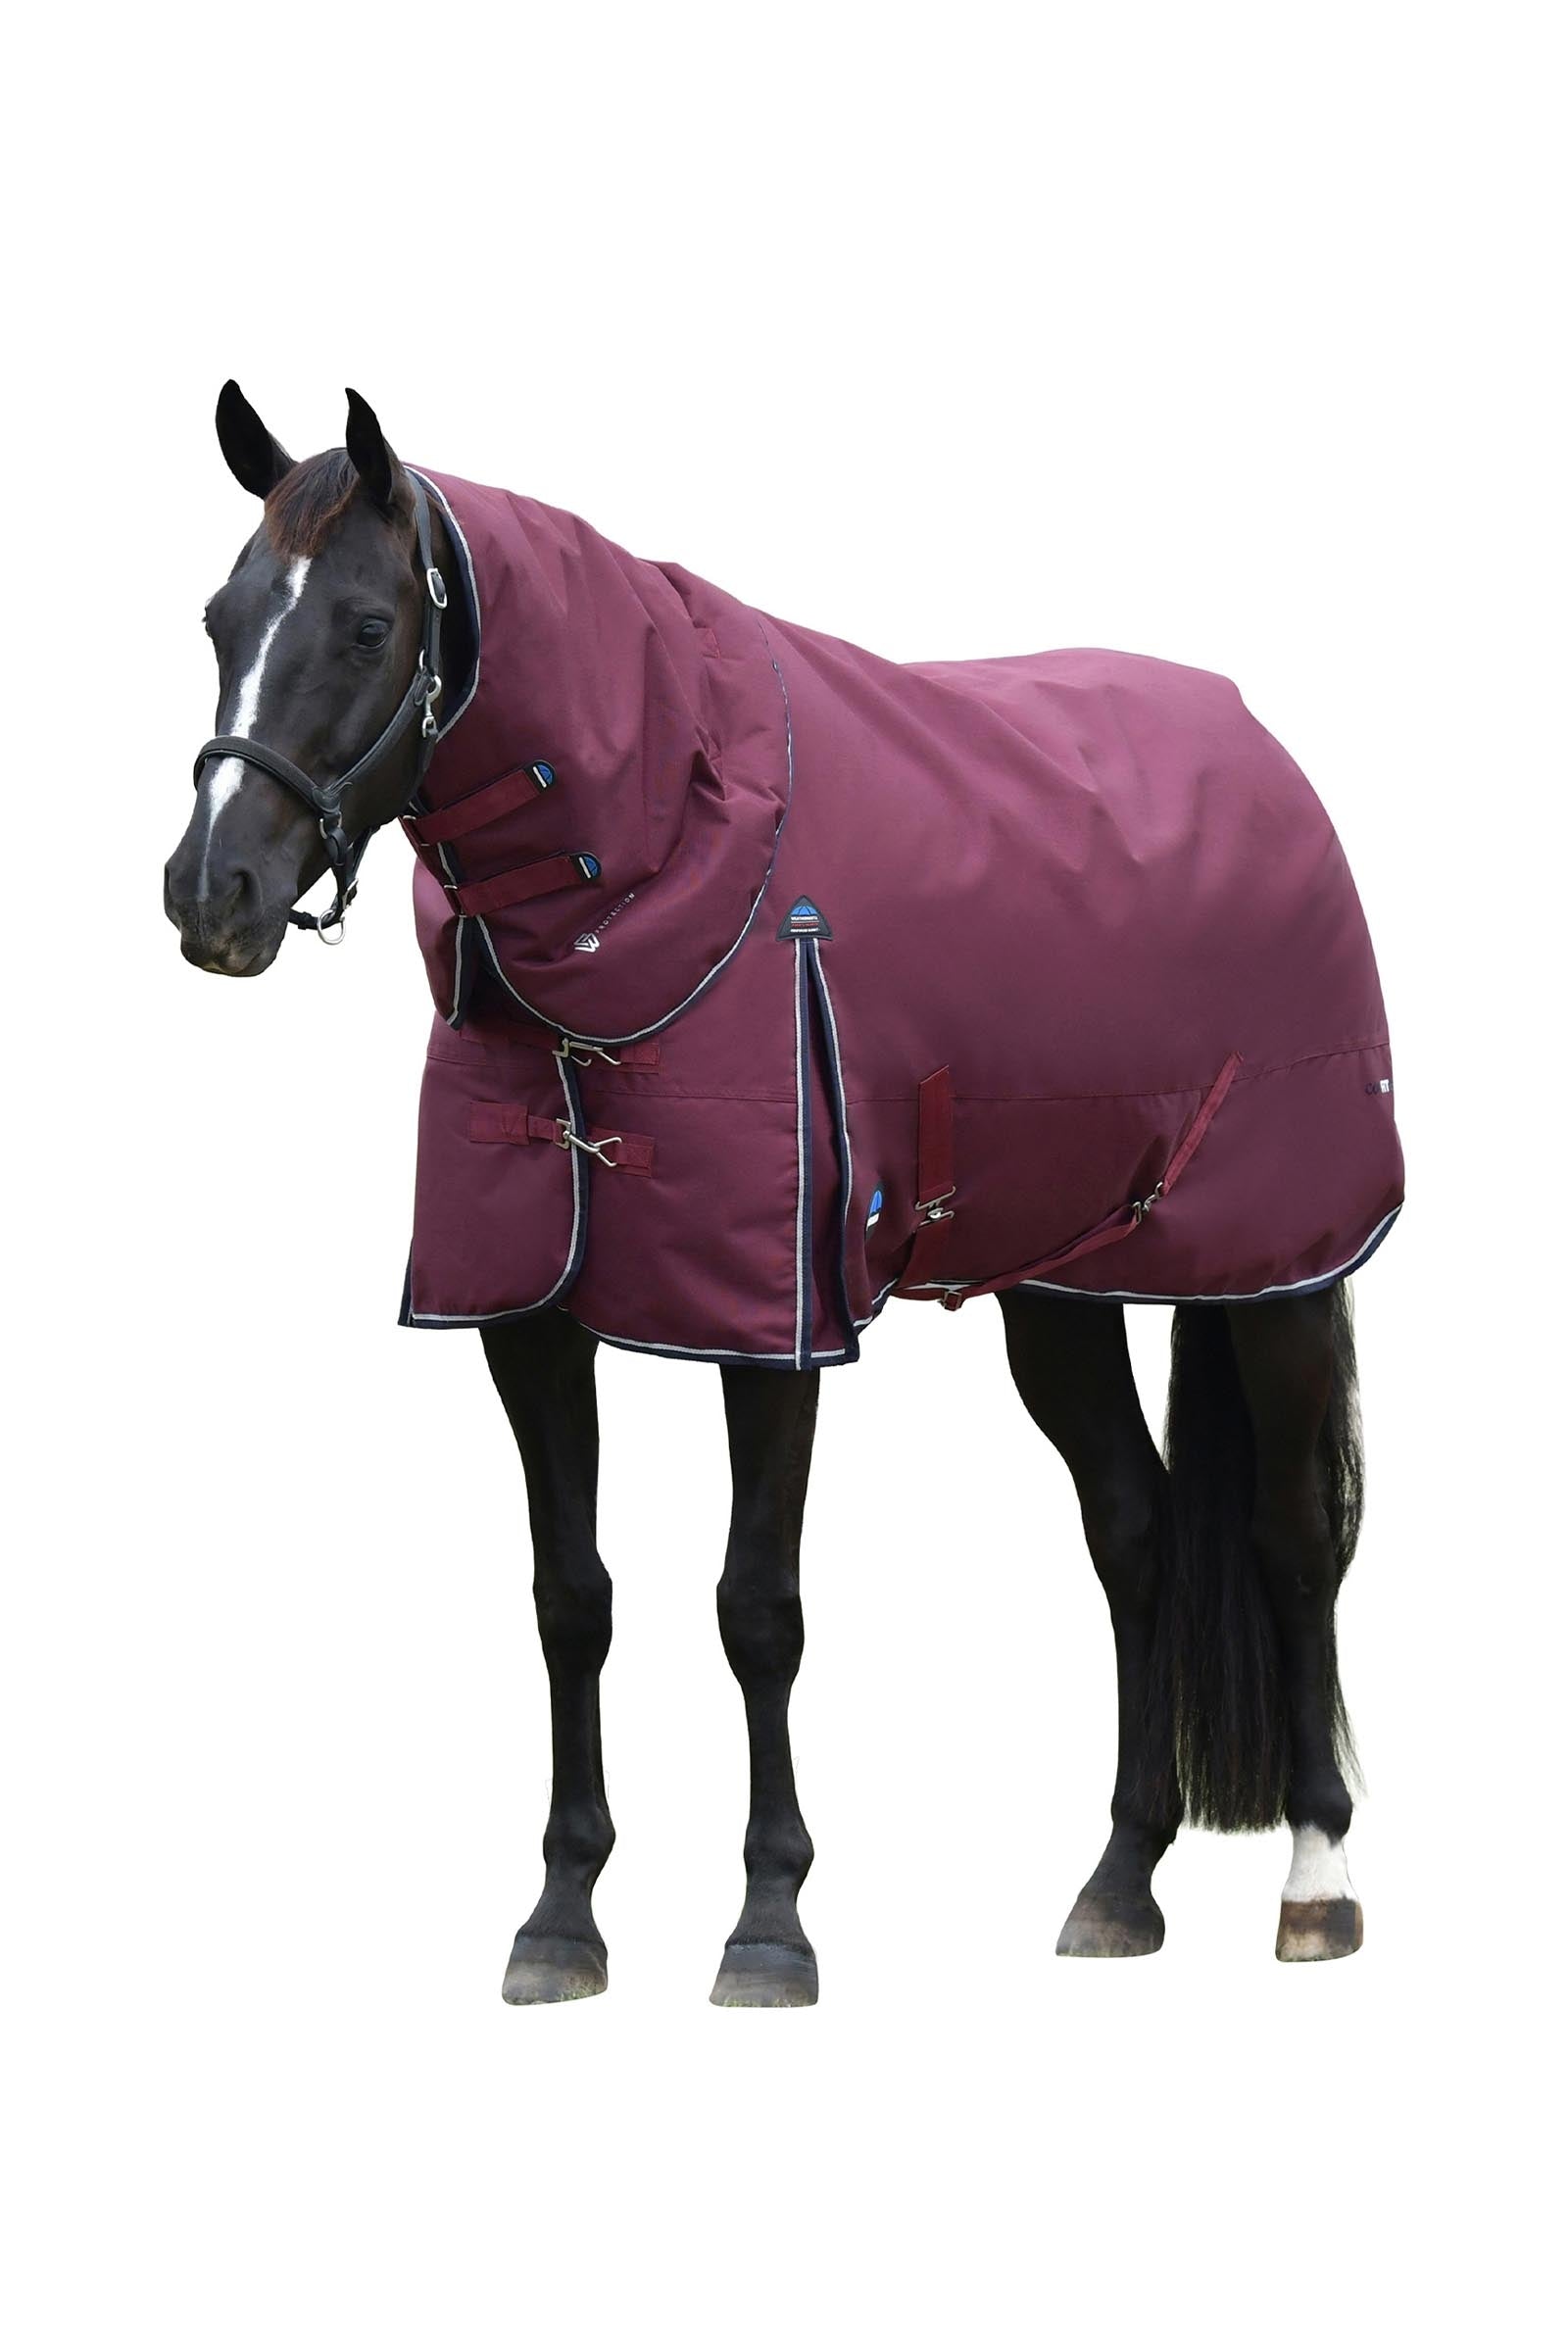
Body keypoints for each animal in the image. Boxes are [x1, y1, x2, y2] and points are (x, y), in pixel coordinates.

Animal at [164, 384, 1399, 2003]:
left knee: (1293, 1537)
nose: (211, 895)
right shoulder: (528, 1321)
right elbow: (571, 1598)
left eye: (369, 624)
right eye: (220, 615)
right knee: (1132, 1527)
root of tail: (1265, 762)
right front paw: (562, 1916)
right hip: (1062, 1286)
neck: (663, 871)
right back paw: (1119, 1883)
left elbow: (758, 1607)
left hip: (1279, 1273)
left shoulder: (773, 1320)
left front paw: (769, 1921)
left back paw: (1317, 1882)